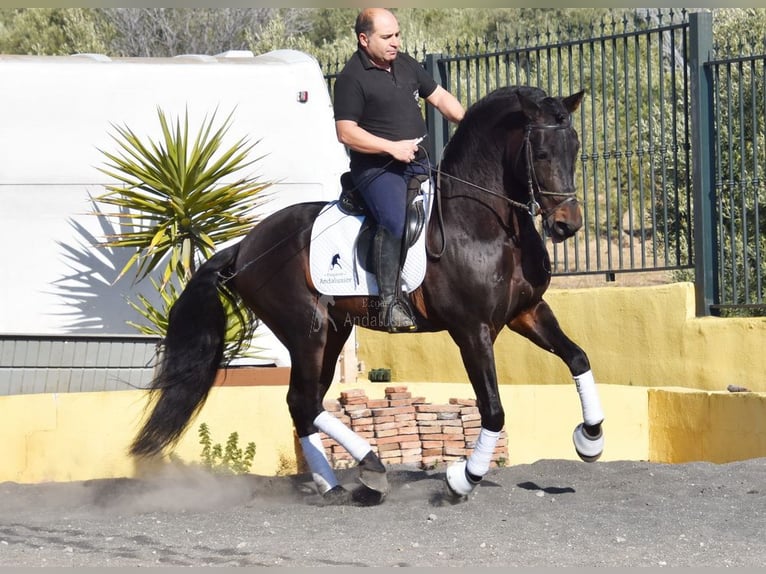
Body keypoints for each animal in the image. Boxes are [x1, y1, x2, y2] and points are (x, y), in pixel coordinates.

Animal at [134, 84, 612, 504]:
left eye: (574, 147)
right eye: (542, 153)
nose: (567, 225)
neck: (484, 223)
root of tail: (246, 246)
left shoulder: (527, 312)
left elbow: (579, 357)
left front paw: (590, 439)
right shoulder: (472, 330)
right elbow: (493, 408)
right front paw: (461, 481)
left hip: (333, 332)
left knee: (303, 404)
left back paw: (334, 484)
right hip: (307, 331)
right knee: (303, 401)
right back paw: (370, 468)